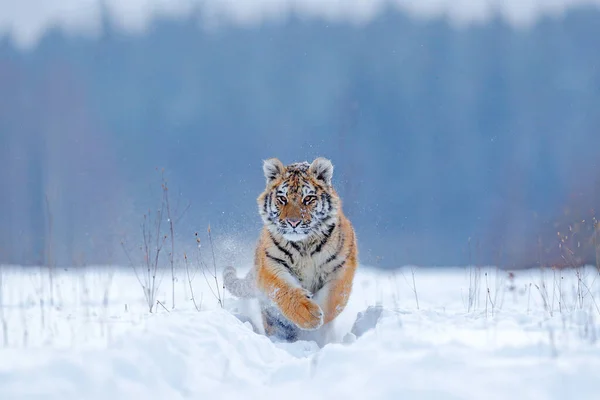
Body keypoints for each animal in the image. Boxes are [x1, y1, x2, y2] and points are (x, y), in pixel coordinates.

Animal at [224, 158, 356, 342]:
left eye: (308, 198)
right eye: (282, 198)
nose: (293, 222)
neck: (305, 244)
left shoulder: (341, 269)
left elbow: (332, 300)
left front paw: (319, 317)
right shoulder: (272, 264)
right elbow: (285, 291)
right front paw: (309, 315)